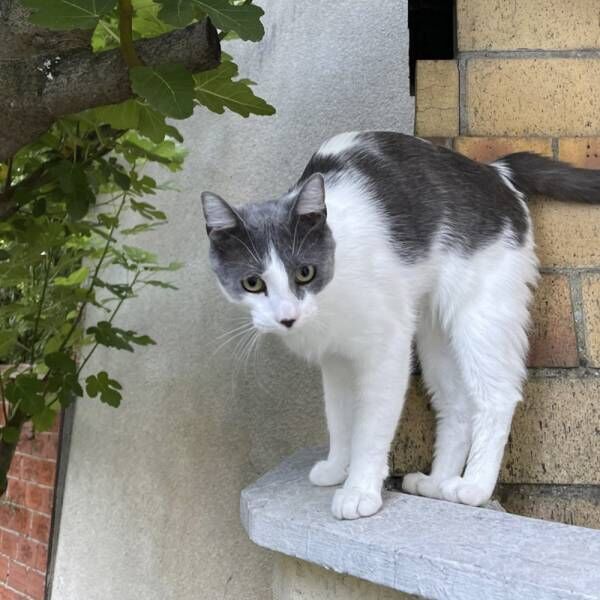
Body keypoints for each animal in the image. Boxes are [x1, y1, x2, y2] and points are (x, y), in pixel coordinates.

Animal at [202, 132, 600, 520]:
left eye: (304, 273)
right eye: (252, 283)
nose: (287, 316)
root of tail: (492, 171)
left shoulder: (387, 349)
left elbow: (371, 427)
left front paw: (360, 490)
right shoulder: (336, 361)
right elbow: (339, 416)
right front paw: (337, 467)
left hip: (479, 317)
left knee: (497, 396)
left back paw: (473, 487)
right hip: (435, 333)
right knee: (456, 404)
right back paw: (437, 483)